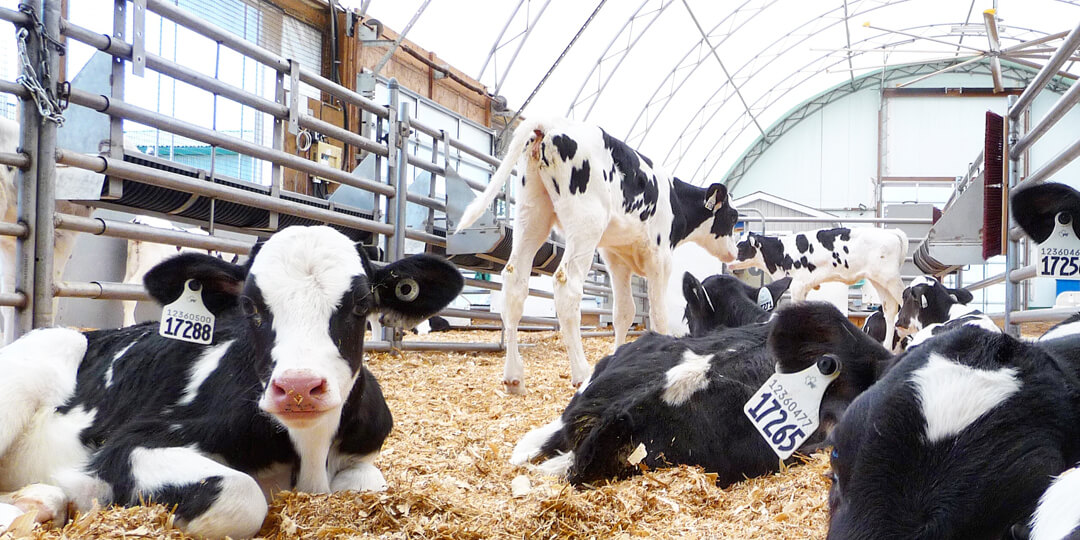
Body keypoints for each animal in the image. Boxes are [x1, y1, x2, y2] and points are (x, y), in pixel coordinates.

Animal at [0, 225, 460, 537]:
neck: (309, 453)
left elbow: (368, 484)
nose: (298, 387)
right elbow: (242, 494)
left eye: (362, 304)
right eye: (249, 305)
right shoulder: (129, 444)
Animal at [449, 116, 743, 395]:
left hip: (531, 215)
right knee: (566, 285)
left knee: (514, 282)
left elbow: (624, 312)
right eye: (732, 217)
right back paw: (581, 373)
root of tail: (550, 123)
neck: (675, 200)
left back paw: (514, 377)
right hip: (585, 223)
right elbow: (658, 314)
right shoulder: (660, 258)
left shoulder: (616, 258)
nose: (735, 252)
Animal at [725, 227, 911, 345]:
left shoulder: (797, 285)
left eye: (740, 246)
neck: (781, 251)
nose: (727, 261)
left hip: (891, 278)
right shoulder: (804, 287)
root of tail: (892, 232)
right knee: (890, 310)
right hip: (879, 280)